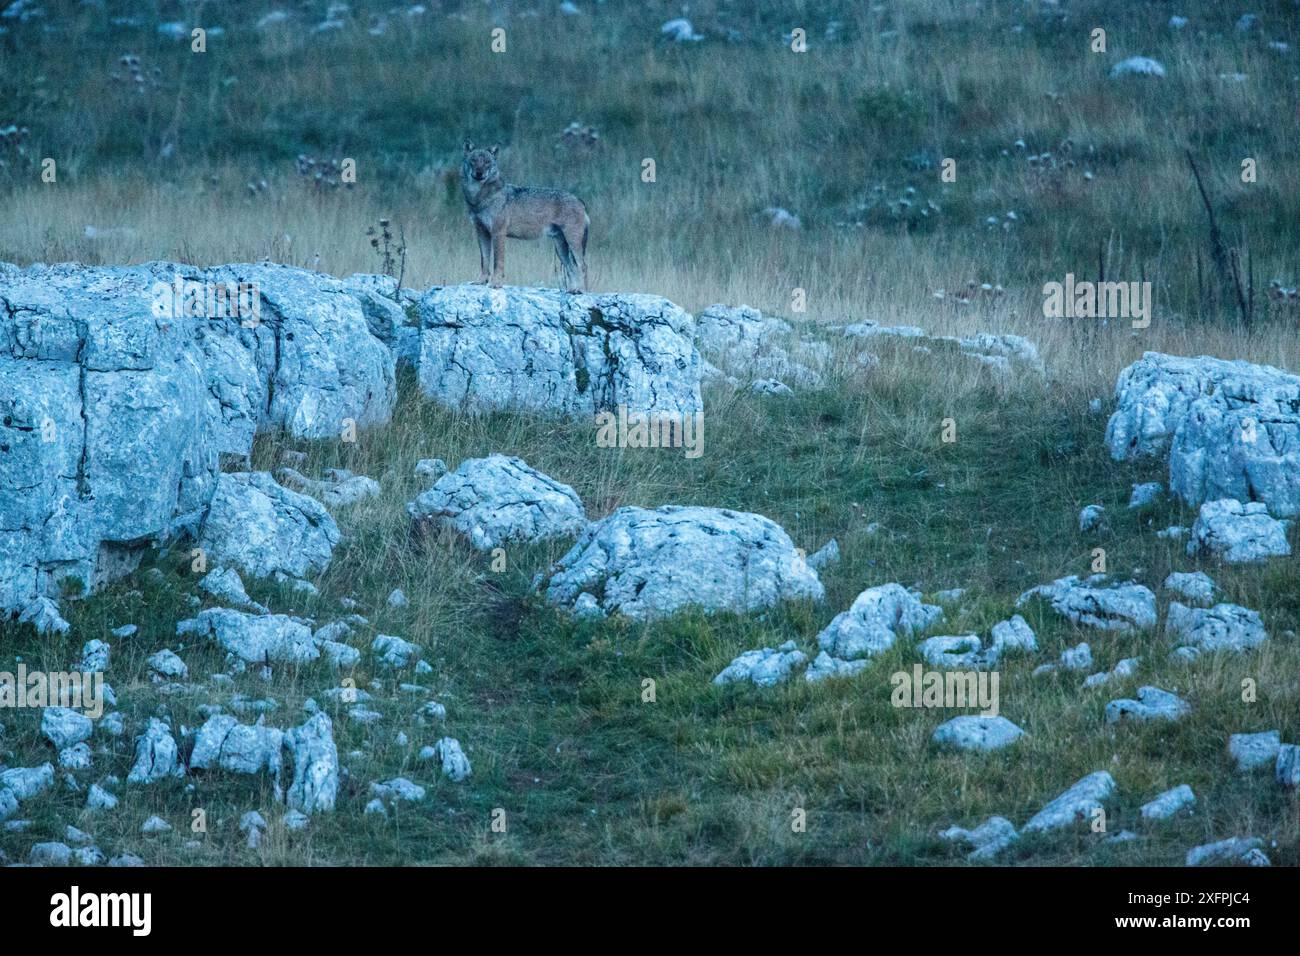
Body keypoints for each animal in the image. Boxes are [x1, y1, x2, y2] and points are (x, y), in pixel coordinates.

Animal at [462, 140, 590, 291]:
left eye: (487, 162)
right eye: (473, 160)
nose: (479, 173)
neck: (479, 198)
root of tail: (580, 200)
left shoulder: (498, 233)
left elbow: (497, 262)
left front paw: (495, 284)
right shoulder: (482, 233)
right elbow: (484, 261)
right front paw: (480, 281)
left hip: (572, 242)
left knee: (582, 265)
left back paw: (580, 291)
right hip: (560, 248)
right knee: (572, 267)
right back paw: (572, 290)